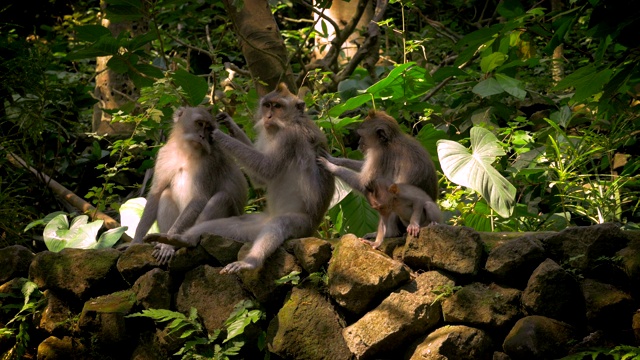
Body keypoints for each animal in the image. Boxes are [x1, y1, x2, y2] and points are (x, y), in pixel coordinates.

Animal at [131, 107, 246, 264]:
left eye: (209, 129)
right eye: (200, 123)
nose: (202, 136)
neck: (185, 151)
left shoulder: (209, 163)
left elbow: (199, 199)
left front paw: (168, 244)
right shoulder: (164, 155)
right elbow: (156, 194)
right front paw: (136, 240)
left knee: (222, 198)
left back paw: (182, 241)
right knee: (166, 194)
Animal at [145, 83, 336, 274]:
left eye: (278, 106)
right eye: (268, 105)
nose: (268, 116)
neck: (291, 121)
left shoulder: (289, 136)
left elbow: (267, 169)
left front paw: (219, 135)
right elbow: (260, 179)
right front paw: (230, 123)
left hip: (302, 225)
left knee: (278, 224)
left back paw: (251, 262)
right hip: (251, 225)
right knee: (219, 227)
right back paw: (184, 240)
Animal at [316, 110, 438, 245]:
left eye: (361, 136)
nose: (358, 144)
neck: (390, 141)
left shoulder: (379, 154)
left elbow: (364, 182)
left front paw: (330, 166)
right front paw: (335, 159)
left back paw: (390, 233)